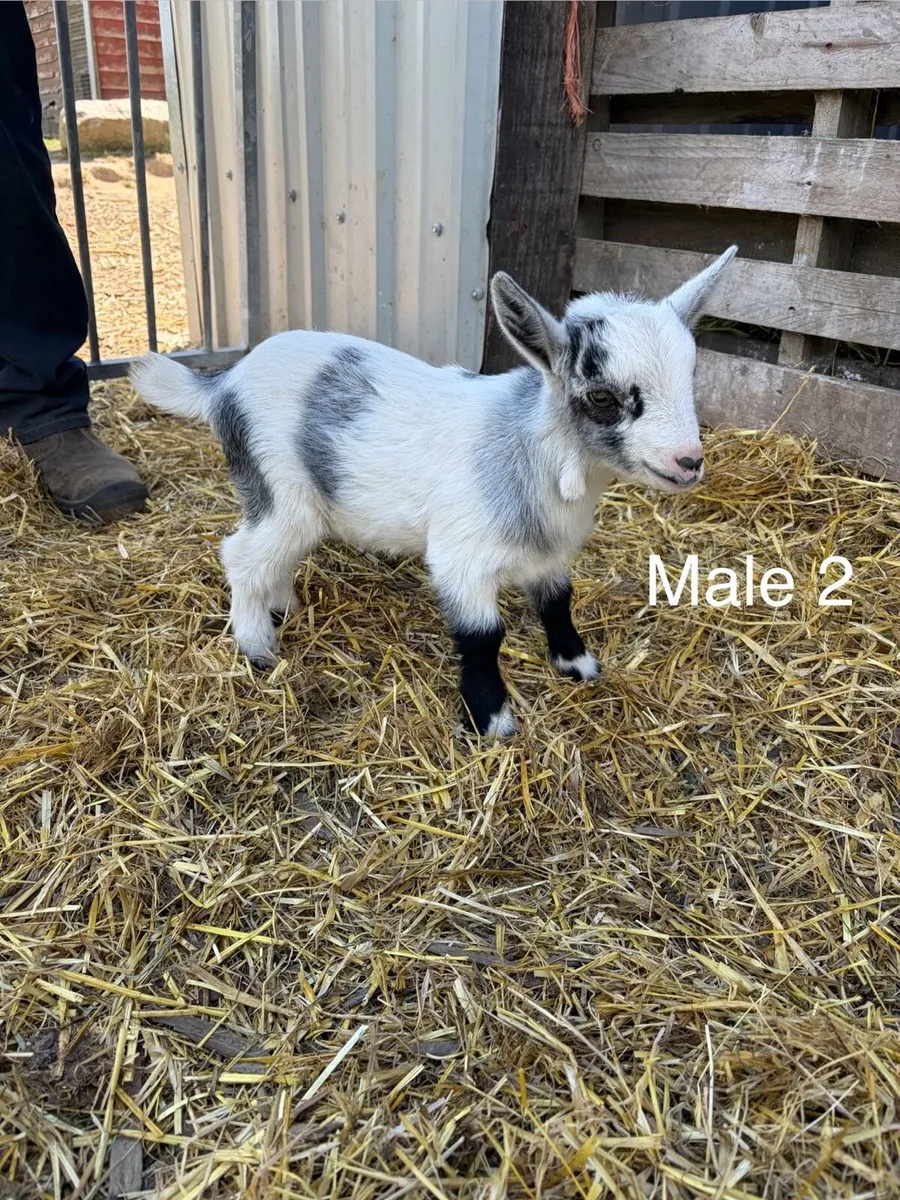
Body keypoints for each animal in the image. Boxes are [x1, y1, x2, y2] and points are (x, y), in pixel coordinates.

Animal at [131, 245, 736, 736]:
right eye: (603, 398)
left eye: (690, 377)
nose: (689, 462)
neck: (526, 447)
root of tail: (222, 384)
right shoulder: (460, 558)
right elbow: (483, 634)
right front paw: (491, 719)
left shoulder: (549, 553)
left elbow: (557, 603)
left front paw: (577, 666)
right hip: (279, 492)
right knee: (241, 555)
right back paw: (257, 647)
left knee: (270, 558)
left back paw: (282, 607)